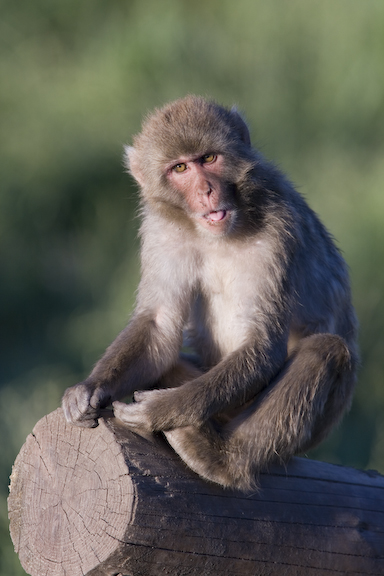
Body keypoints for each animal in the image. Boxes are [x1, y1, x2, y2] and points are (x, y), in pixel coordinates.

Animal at [61, 95, 358, 490]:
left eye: (209, 159)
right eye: (180, 168)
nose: (206, 191)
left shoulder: (279, 226)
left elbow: (262, 344)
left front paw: (160, 411)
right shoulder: (162, 231)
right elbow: (160, 326)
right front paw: (90, 388)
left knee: (327, 349)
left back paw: (224, 459)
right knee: (169, 363)